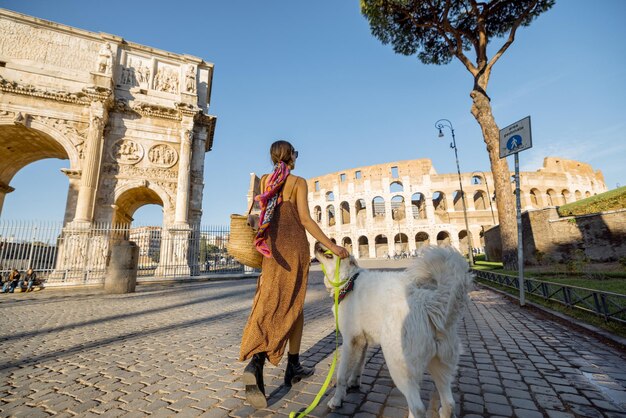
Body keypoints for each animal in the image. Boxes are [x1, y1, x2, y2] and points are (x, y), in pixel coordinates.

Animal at [314, 243, 470, 418]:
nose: (318, 243)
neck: (348, 281)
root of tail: (427, 302)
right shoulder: (362, 341)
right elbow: (359, 365)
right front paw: (354, 383)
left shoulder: (349, 341)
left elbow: (341, 375)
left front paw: (336, 400)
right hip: (440, 365)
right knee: (449, 403)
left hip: (398, 366)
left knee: (418, 407)